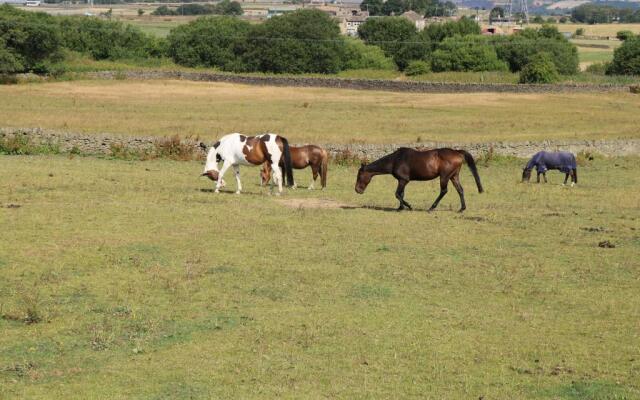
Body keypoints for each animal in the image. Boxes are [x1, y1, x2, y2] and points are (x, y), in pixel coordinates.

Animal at [352, 148, 482, 212]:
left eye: (359, 176)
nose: (357, 190)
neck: (395, 160)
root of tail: (457, 152)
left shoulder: (403, 180)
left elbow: (397, 194)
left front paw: (408, 206)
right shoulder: (402, 181)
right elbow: (401, 194)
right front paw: (400, 208)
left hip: (444, 176)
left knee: (444, 191)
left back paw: (431, 208)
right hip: (454, 176)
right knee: (460, 190)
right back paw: (462, 209)